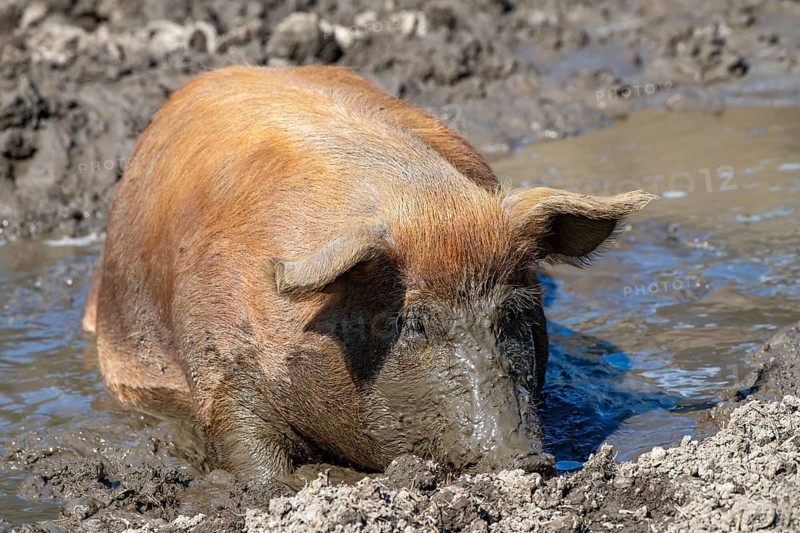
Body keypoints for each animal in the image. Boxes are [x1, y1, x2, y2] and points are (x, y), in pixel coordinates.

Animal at [83, 65, 653, 484]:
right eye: (414, 324)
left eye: (513, 312)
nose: (526, 461)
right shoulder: (219, 355)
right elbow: (243, 440)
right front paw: (282, 487)